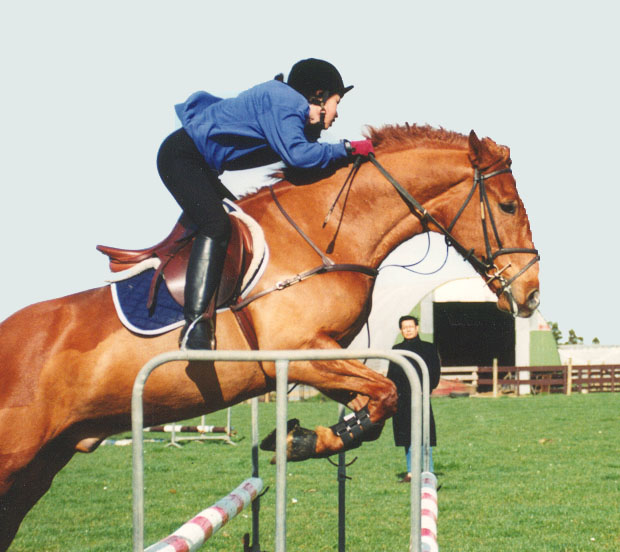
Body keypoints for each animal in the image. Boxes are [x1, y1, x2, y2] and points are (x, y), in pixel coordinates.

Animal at [0, 125, 536, 548]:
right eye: (508, 205)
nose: (529, 293)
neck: (323, 235)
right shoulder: (300, 353)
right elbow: (385, 393)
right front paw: (301, 440)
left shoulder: (325, 359)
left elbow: (379, 403)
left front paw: (305, 437)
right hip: (16, 456)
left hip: (38, 468)